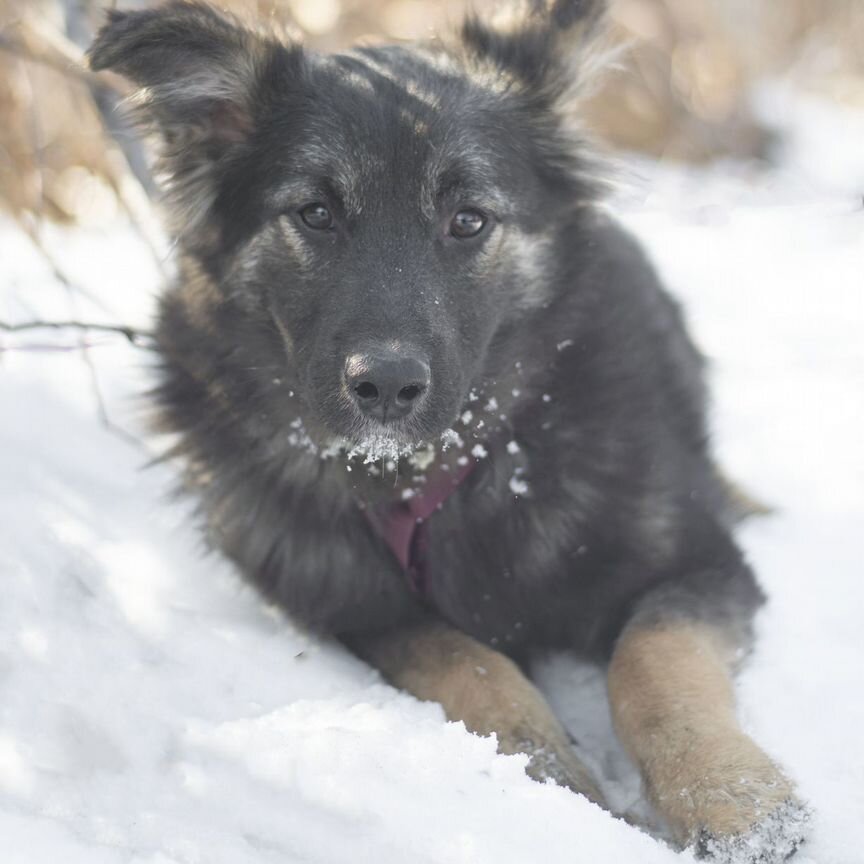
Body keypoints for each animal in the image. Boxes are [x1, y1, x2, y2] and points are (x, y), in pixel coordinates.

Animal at [89, 1, 808, 856]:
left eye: (468, 220)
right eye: (316, 214)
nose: (386, 387)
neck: (436, 474)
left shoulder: (700, 562)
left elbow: (653, 656)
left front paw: (730, 798)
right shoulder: (357, 609)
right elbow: (463, 660)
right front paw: (550, 769)